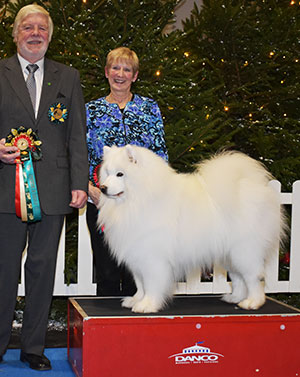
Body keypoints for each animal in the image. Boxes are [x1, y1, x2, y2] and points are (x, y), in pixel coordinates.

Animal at [97, 143, 284, 312]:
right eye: (107, 173)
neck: (138, 200)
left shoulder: (153, 258)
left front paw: (147, 305)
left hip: (244, 251)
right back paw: (235, 297)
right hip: (229, 254)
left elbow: (151, 284)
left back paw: (252, 302)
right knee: (239, 278)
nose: (103, 188)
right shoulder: (136, 254)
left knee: (254, 278)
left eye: (120, 174)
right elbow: (140, 284)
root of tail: (251, 183)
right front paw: (136, 300)